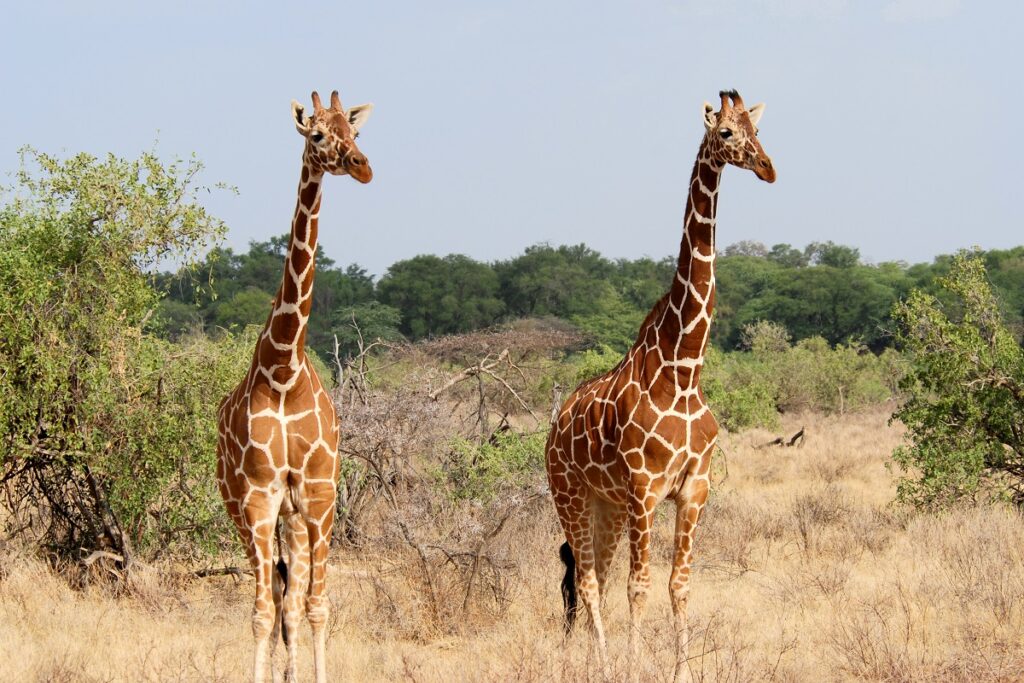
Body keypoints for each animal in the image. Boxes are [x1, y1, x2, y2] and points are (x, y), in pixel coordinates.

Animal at [215, 89, 372, 683]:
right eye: (317, 135)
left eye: (355, 132)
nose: (363, 166)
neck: (283, 371)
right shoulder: (259, 498)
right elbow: (261, 612)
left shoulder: (319, 495)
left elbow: (316, 606)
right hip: (242, 510)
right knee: (277, 599)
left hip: (296, 517)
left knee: (295, 599)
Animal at [548, 90, 770, 683]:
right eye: (726, 134)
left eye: (757, 129)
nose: (768, 168)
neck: (685, 369)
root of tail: (555, 424)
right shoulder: (646, 490)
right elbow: (640, 586)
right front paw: (632, 666)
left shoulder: (694, 488)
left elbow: (679, 584)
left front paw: (682, 669)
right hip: (569, 494)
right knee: (588, 580)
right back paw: (603, 664)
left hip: (605, 505)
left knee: (593, 576)